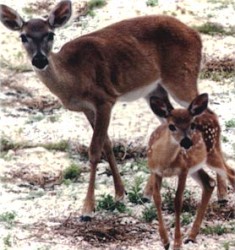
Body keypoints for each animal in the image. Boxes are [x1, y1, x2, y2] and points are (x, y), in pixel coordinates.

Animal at [0, 0, 228, 220]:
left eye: (50, 34)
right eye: (23, 36)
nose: (39, 59)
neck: (73, 79)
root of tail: (196, 35)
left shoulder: (104, 99)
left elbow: (94, 150)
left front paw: (87, 209)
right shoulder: (87, 109)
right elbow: (107, 144)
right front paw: (120, 193)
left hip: (181, 75)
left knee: (210, 115)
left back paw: (222, 193)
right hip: (156, 90)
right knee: (174, 121)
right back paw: (149, 191)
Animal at [146, 93, 234, 249]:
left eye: (192, 125)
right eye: (171, 126)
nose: (187, 142)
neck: (165, 162)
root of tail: (213, 116)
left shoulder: (183, 170)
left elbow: (177, 201)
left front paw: (177, 242)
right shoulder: (155, 171)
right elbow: (157, 199)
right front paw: (165, 240)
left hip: (212, 153)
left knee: (231, 173)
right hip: (197, 165)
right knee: (209, 182)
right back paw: (192, 236)